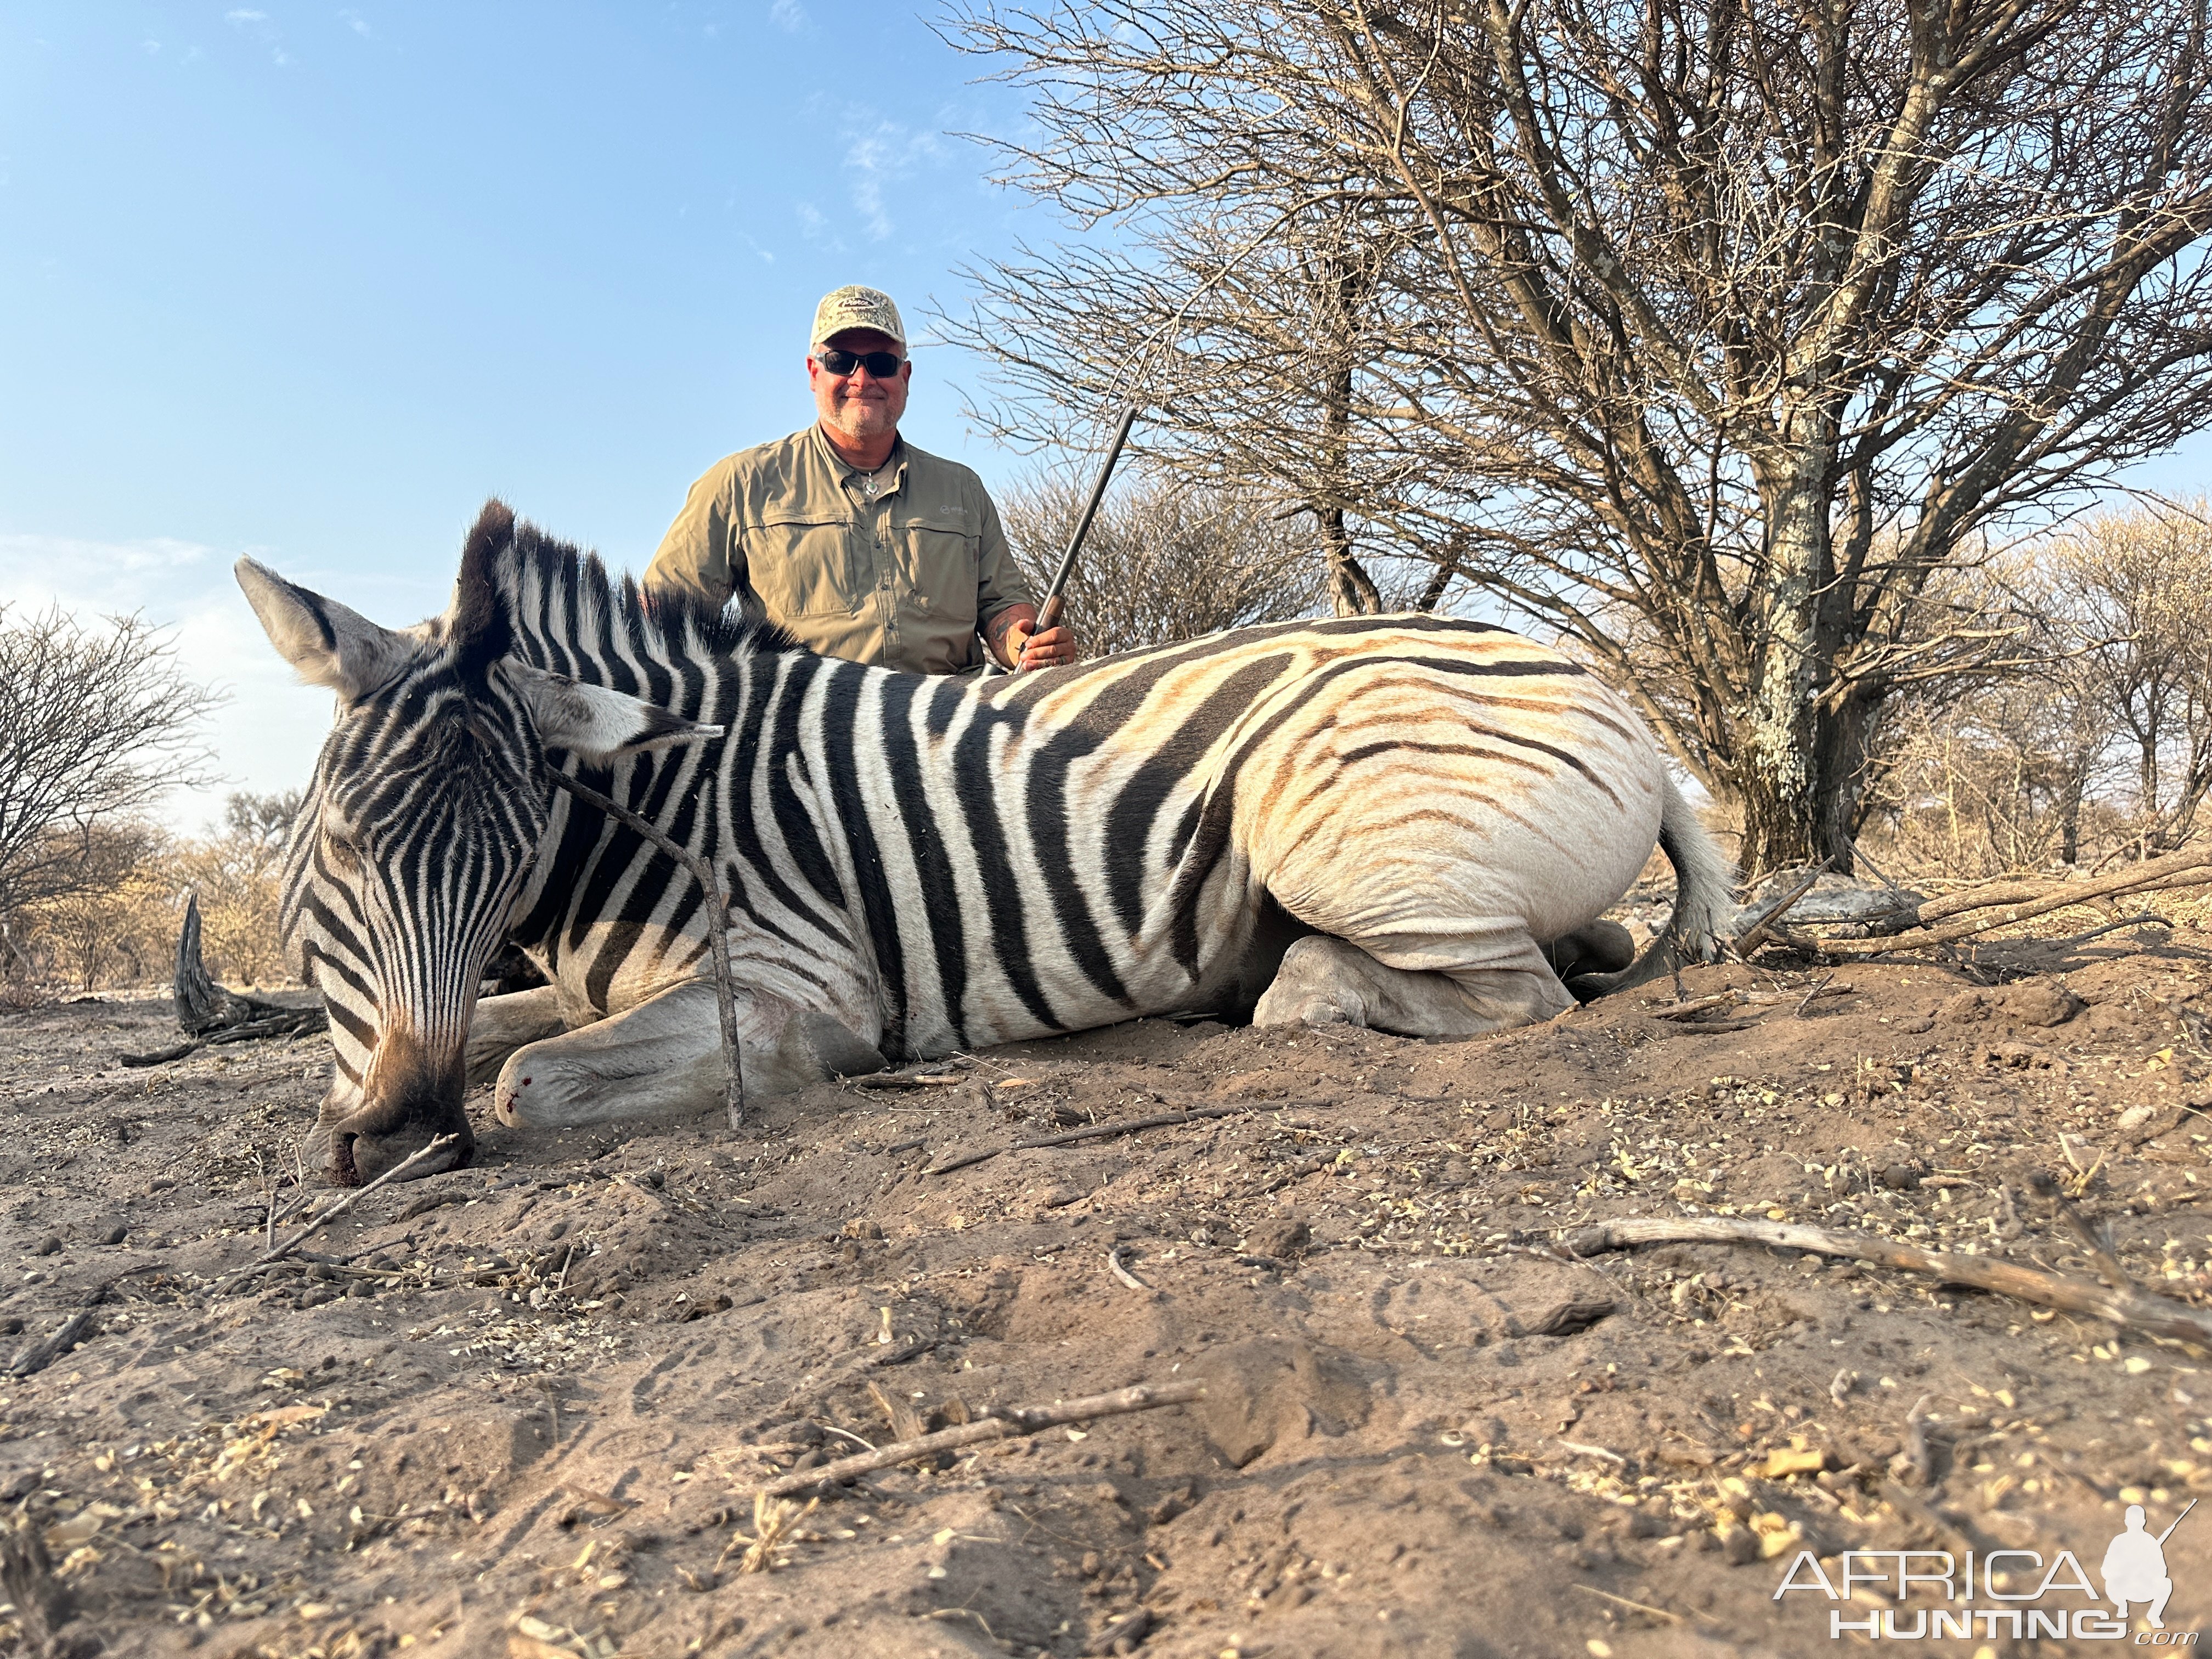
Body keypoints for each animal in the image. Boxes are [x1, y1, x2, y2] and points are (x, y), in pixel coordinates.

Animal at [238, 504, 1725, 1186]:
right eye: (343, 850)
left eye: (511, 859)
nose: (402, 1136)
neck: (662, 808)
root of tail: (1601, 686)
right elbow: (505, 1036)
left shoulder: (800, 992)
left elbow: (525, 1076)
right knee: (1583, 947)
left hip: (1332, 842)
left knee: (1492, 992)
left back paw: (1289, 987)